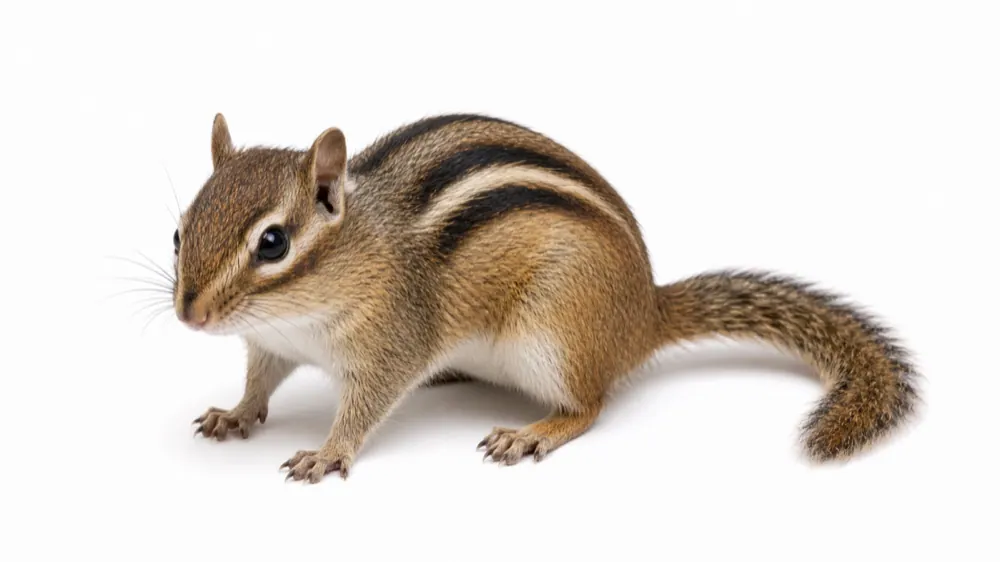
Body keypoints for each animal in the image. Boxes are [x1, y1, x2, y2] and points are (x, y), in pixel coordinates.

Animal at [174, 113, 920, 483]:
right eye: (179, 229)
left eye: (273, 243)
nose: (190, 314)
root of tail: (644, 312)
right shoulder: (271, 344)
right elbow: (260, 381)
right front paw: (235, 413)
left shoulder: (394, 339)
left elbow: (366, 404)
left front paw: (329, 451)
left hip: (555, 335)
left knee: (589, 406)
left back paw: (533, 433)